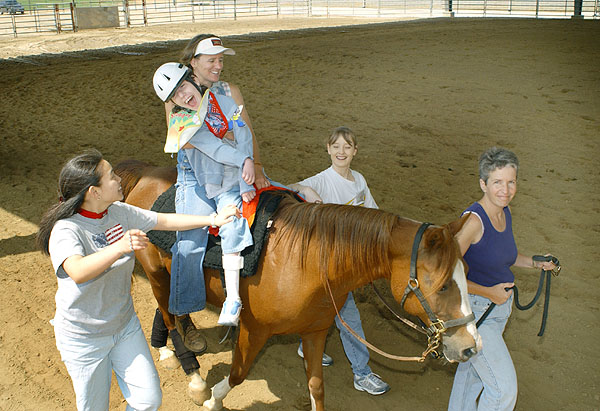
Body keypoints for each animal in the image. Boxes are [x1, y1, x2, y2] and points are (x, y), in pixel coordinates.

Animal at [115, 161, 480, 411]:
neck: (312, 264)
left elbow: (317, 387)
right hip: (155, 272)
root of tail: (146, 174)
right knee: (169, 316)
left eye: (466, 274)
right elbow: (237, 374)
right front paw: (213, 400)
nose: (471, 346)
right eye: (443, 286)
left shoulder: (315, 332)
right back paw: (188, 371)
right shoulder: (253, 331)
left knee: (174, 310)